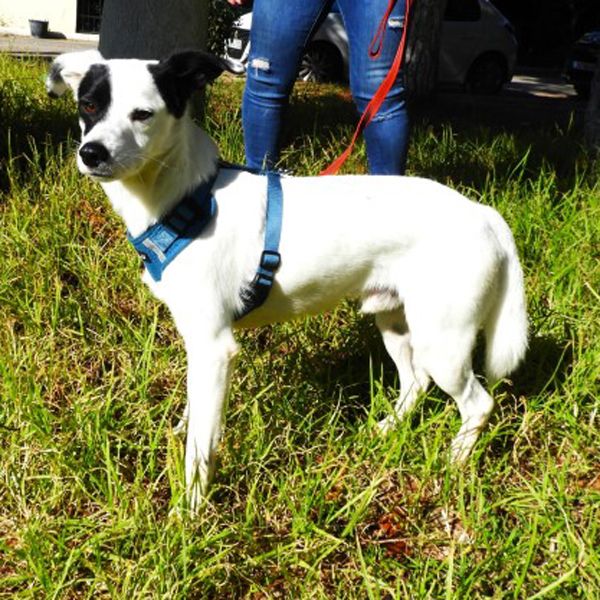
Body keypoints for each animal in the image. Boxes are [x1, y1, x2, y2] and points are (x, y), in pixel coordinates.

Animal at [47, 50, 528, 511]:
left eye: (142, 114)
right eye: (88, 105)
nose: (91, 153)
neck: (190, 198)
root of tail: (484, 213)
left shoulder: (213, 347)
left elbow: (200, 445)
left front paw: (190, 509)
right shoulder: (197, 346)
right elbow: (195, 412)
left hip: (442, 341)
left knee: (478, 403)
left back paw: (455, 460)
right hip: (396, 322)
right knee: (415, 383)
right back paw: (386, 429)